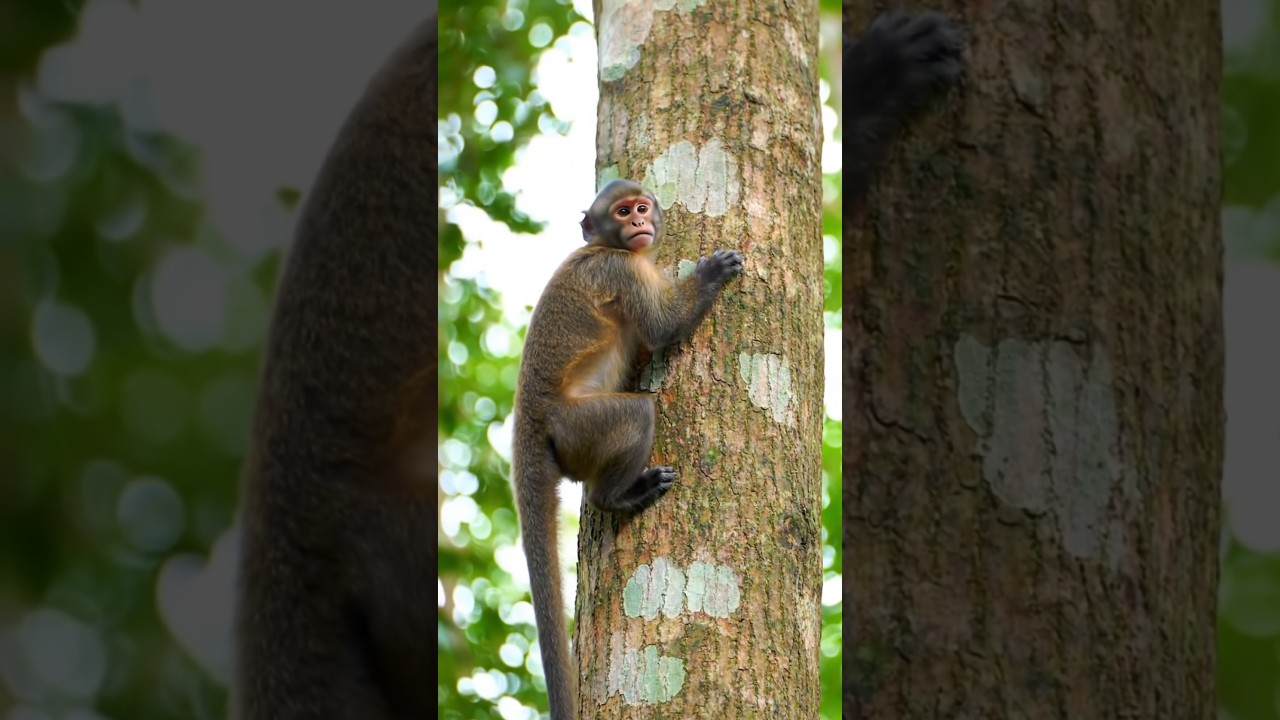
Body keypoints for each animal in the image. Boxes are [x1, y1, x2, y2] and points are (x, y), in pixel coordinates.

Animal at [511, 178, 744, 719]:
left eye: (640, 207)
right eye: (622, 213)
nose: (639, 222)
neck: (604, 247)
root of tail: (530, 414)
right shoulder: (626, 270)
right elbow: (661, 328)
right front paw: (710, 274)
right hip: (577, 427)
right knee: (638, 415)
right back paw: (617, 496)